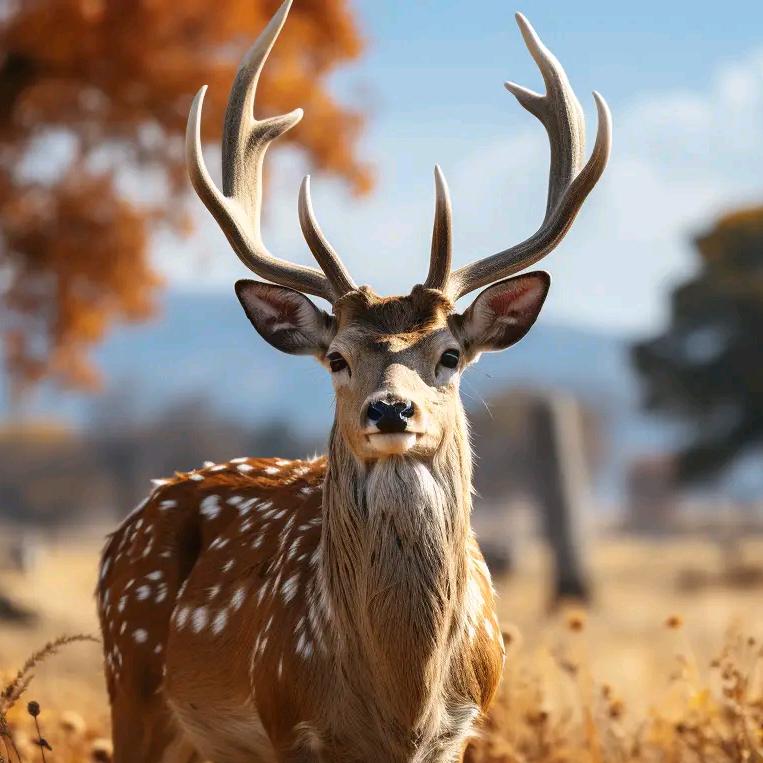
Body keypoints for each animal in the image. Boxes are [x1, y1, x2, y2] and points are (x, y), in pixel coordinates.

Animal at [96, 2, 611, 761]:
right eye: (336, 357)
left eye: (449, 354)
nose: (390, 410)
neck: (401, 701)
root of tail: (122, 531)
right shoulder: (286, 717)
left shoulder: (462, 726)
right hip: (128, 677)